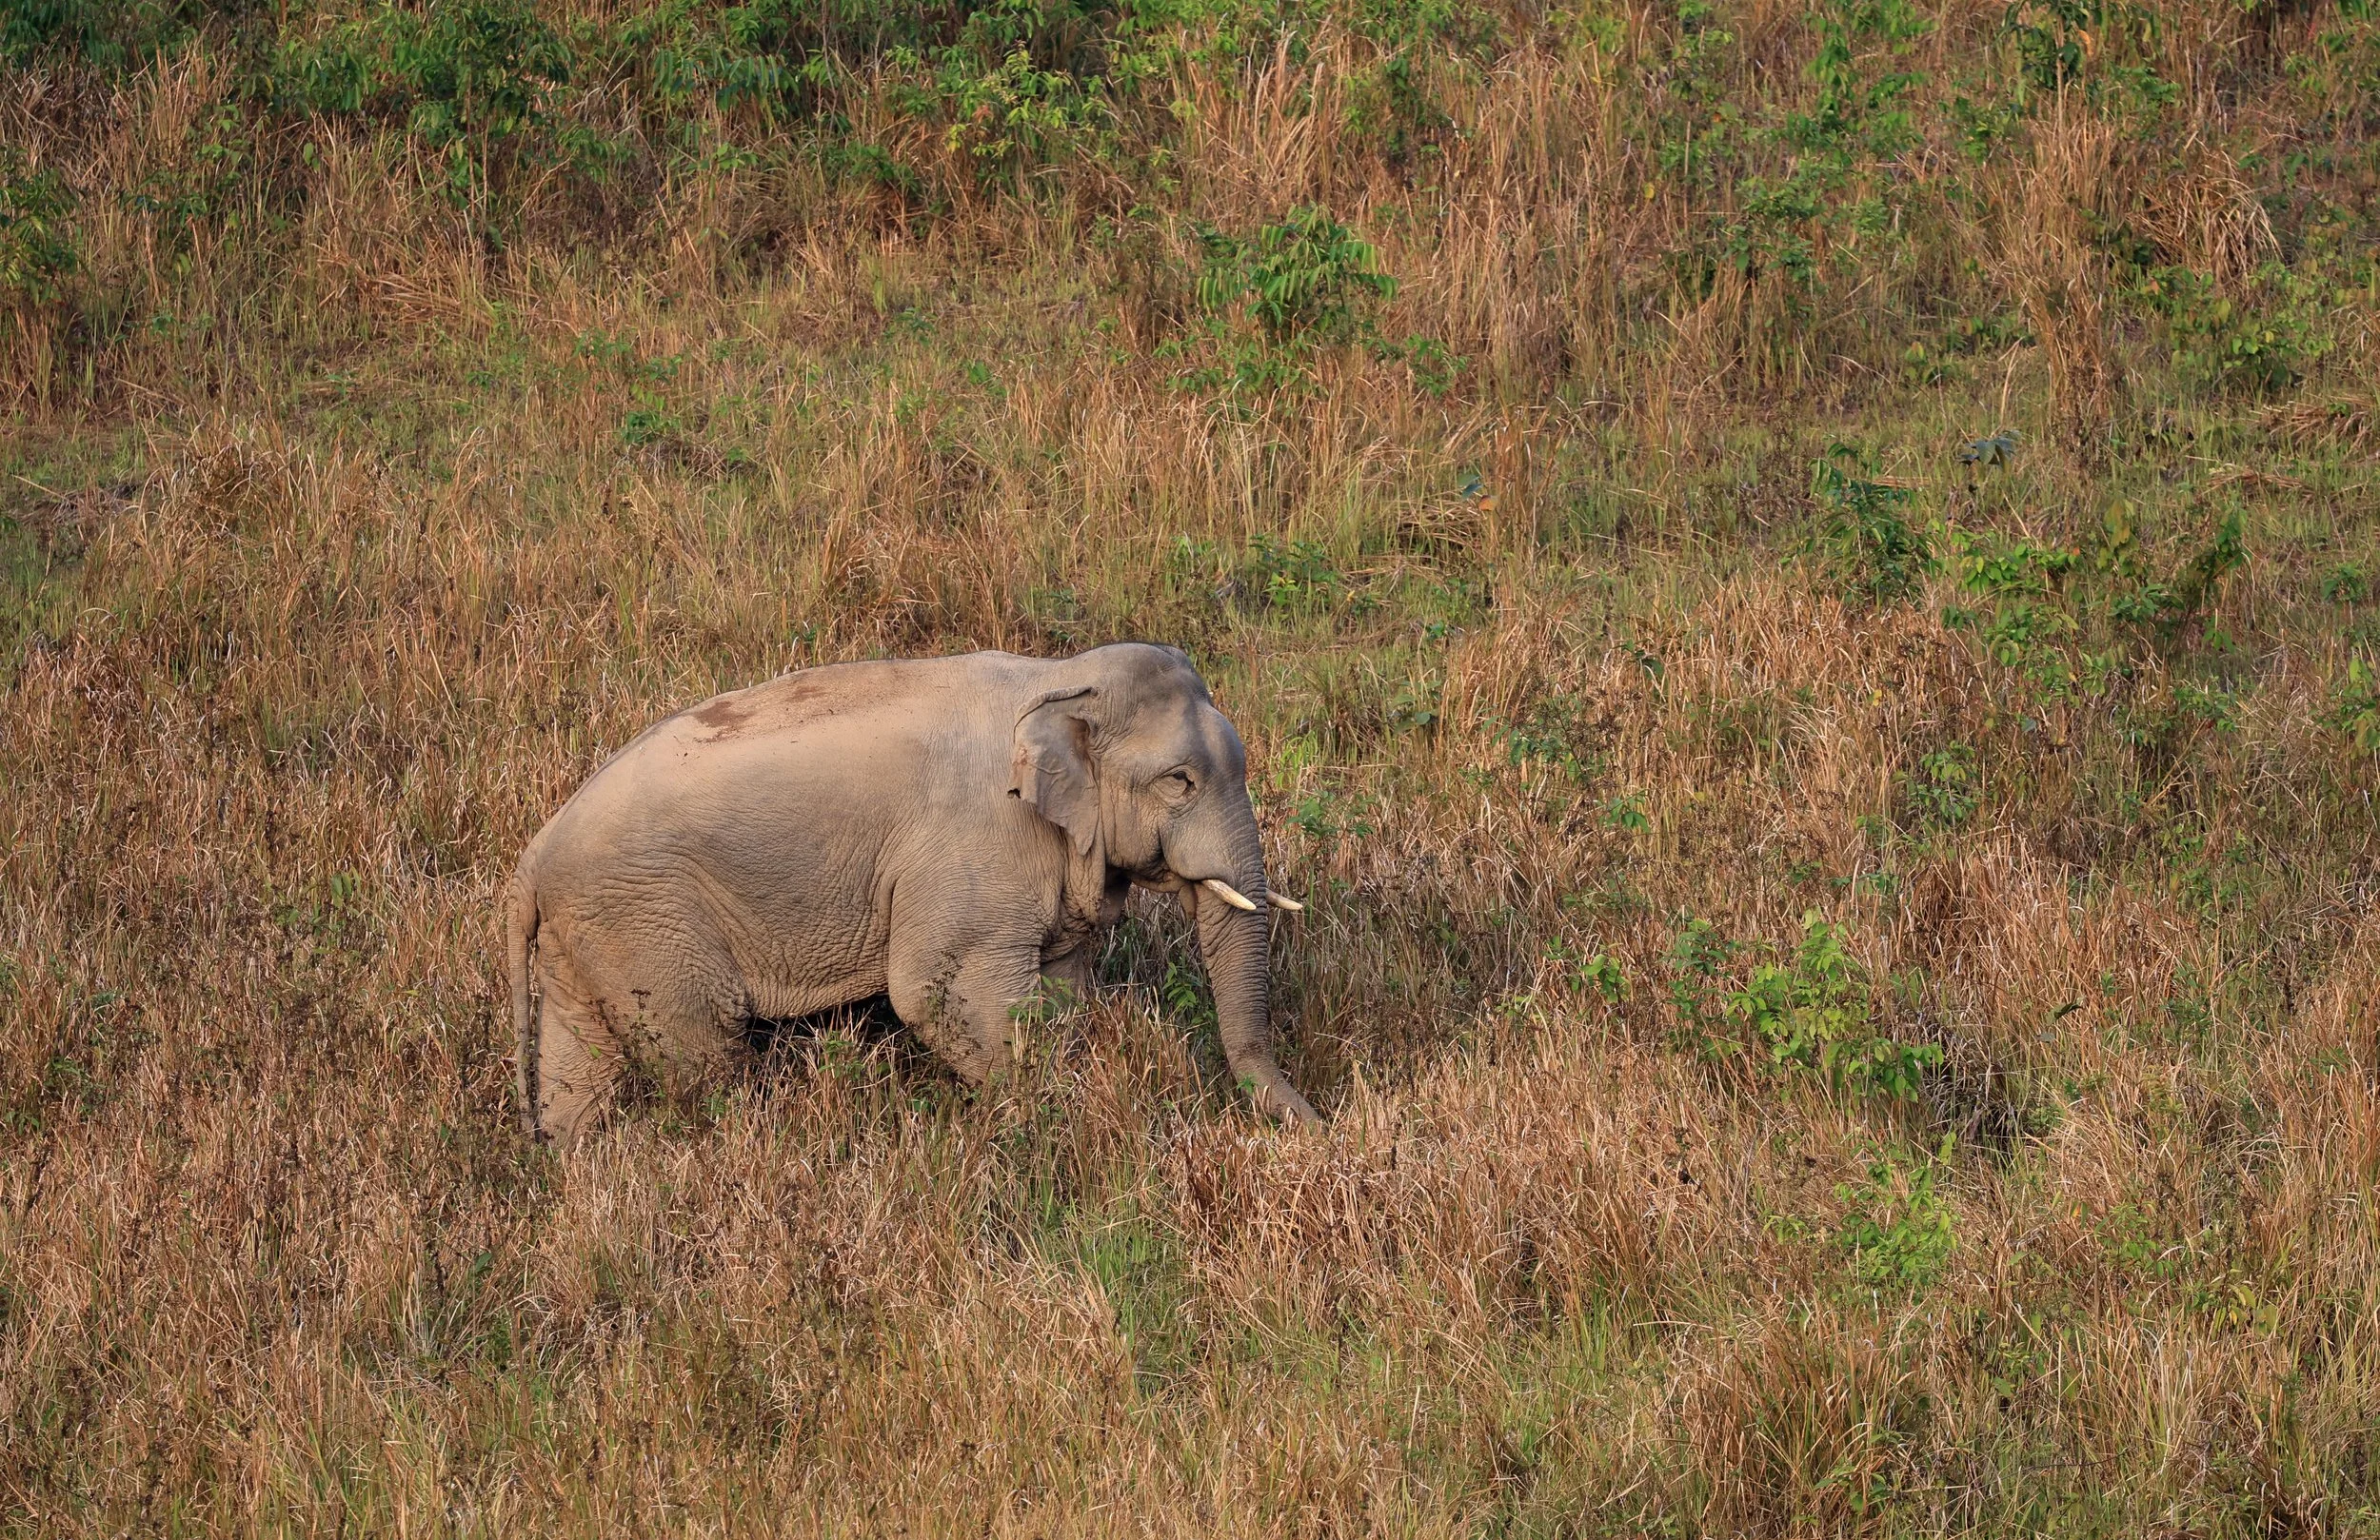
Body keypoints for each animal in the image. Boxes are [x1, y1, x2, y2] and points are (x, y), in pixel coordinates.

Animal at [504, 641, 1319, 1144]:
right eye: (1179, 782)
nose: (1320, 1126)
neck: (1054, 677)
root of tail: (530, 864)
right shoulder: (974, 846)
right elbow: (937, 989)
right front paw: (1038, 1123)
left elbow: (1058, 988)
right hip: (646, 922)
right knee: (701, 1049)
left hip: (589, 940)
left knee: (580, 1069)